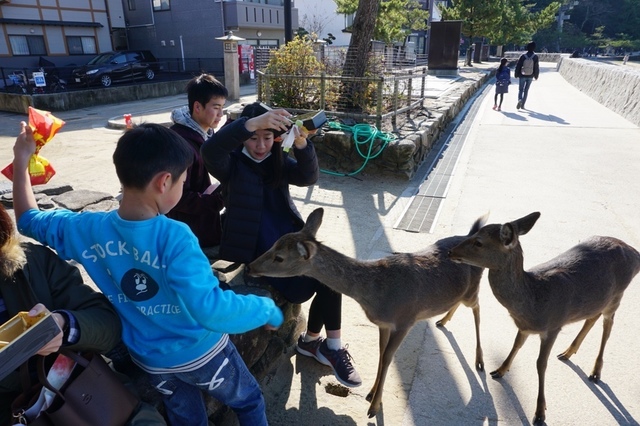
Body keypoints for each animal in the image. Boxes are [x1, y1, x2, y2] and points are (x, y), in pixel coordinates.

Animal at [246, 208, 484, 418]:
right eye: (274, 242)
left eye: (279, 257)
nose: (250, 266)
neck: (377, 294)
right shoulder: (384, 323)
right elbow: (381, 353)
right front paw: (370, 394)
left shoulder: (406, 320)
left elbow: (388, 357)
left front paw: (374, 408)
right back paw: (442, 321)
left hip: (473, 290)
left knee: (478, 307)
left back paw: (481, 362)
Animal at [448, 211, 640, 424]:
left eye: (479, 242)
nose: (450, 251)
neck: (534, 302)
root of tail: (635, 253)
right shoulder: (524, 327)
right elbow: (516, 344)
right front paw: (499, 370)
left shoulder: (553, 326)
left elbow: (541, 364)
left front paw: (540, 413)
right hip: (599, 299)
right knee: (593, 317)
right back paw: (567, 352)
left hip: (617, 295)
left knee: (608, 325)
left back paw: (595, 372)